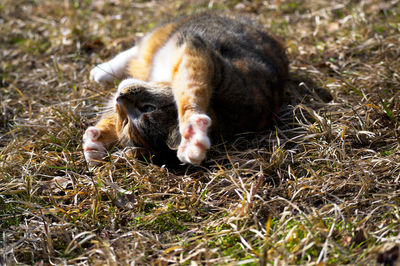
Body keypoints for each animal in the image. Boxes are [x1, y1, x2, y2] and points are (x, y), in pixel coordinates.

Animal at [83, 13, 288, 166]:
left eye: (148, 108)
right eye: (125, 122)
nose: (120, 97)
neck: (223, 115)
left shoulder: (200, 55)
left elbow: (190, 89)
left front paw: (192, 138)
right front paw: (94, 144)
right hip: (168, 30)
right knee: (140, 49)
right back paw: (102, 72)